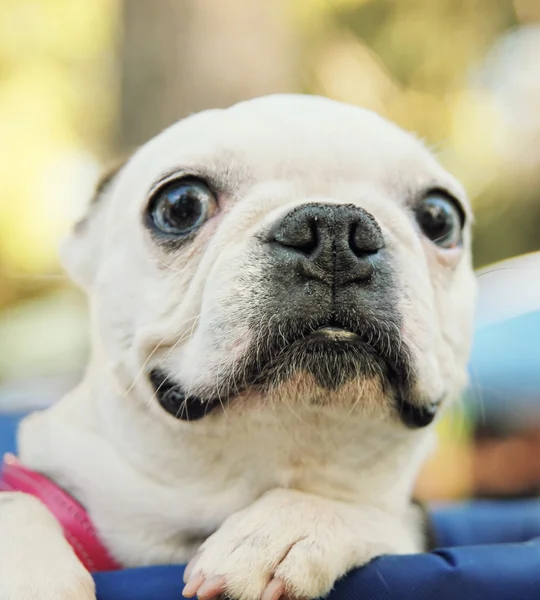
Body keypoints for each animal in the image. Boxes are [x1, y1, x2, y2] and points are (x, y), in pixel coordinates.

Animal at [0, 96, 474, 600]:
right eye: (180, 206)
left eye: (440, 217)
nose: (337, 227)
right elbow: (16, 500)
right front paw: (28, 571)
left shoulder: (414, 521)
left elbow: (380, 516)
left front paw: (287, 528)